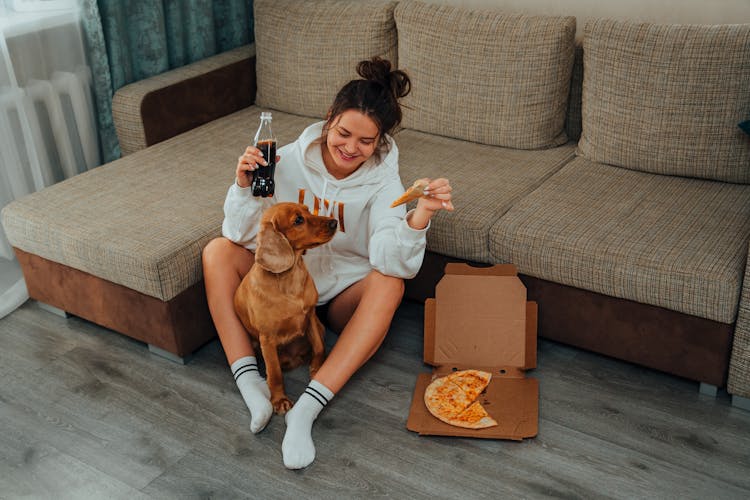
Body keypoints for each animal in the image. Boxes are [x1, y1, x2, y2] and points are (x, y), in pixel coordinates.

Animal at [235, 202, 338, 414]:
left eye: (307, 210)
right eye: (298, 220)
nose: (334, 222)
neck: (290, 279)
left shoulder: (310, 316)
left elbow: (319, 346)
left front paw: (318, 368)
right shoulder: (267, 339)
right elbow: (274, 373)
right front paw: (279, 400)